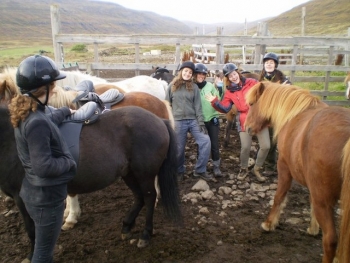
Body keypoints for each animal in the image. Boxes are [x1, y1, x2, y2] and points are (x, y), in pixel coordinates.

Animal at [245, 81, 350, 263]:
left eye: (252, 104)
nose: (247, 128)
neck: (294, 114)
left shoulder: (284, 167)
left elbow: (279, 196)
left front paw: (269, 223)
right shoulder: (313, 187)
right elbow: (311, 203)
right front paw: (313, 228)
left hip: (324, 200)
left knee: (330, 240)